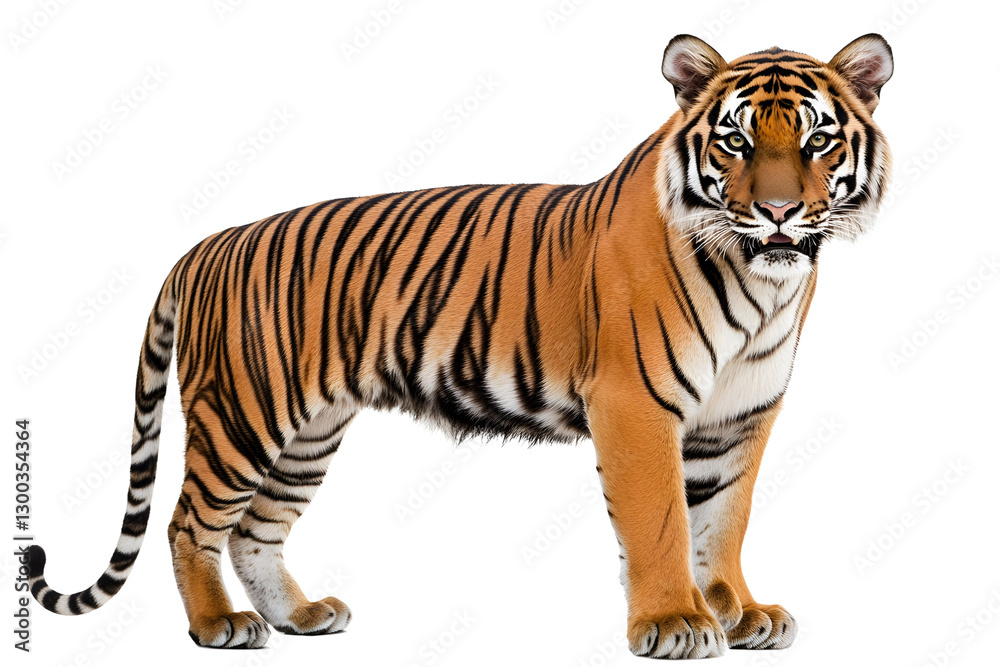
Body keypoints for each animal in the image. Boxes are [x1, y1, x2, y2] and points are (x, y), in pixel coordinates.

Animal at [27, 33, 892, 659]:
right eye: (735, 142)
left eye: (817, 140)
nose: (779, 212)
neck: (764, 283)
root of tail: (205, 245)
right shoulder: (636, 404)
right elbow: (662, 522)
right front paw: (675, 622)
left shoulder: (740, 415)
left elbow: (723, 519)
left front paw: (738, 612)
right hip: (243, 413)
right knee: (189, 523)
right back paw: (217, 626)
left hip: (308, 433)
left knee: (254, 529)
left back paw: (300, 615)